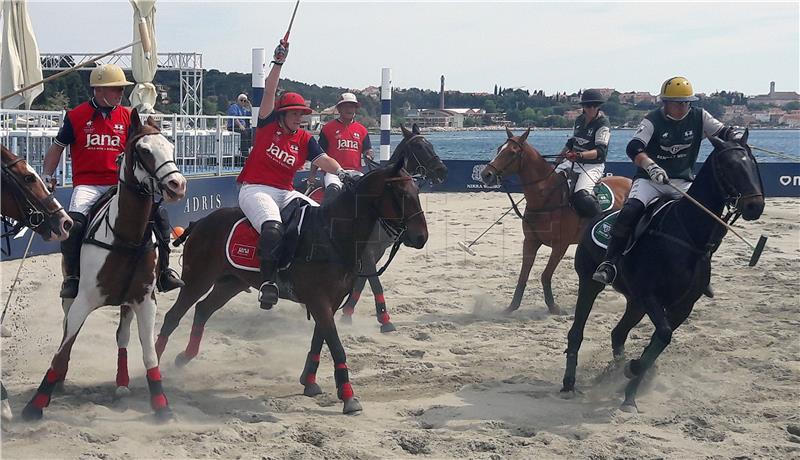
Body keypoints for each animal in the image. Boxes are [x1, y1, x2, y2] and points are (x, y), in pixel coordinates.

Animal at [21, 110, 188, 420]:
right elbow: (62, 349)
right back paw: (61, 381)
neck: (127, 237)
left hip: (126, 303)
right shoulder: (83, 300)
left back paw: (121, 383)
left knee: (122, 336)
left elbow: (149, 352)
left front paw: (161, 405)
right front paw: (35, 405)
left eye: (171, 147)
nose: (178, 185)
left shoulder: (145, 301)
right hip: (70, 295)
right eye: (144, 150)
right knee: (66, 331)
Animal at [158, 160, 432, 416]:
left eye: (417, 190)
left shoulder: (330, 302)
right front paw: (348, 396)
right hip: (197, 279)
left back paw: (184, 357)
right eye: (401, 194)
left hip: (231, 282)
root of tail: (200, 221)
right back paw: (156, 369)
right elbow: (336, 346)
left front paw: (309, 381)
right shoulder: (319, 300)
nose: (421, 237)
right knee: (173, 316)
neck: (331, 235)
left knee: (203, 309)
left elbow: (320, 339)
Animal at [306, 124, 446, 332]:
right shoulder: (366, 252)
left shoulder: (375, 252)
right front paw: (385, 320)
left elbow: (362, 282)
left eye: (431, 144)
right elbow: (375, 283)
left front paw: (347, 313)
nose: (442, 170)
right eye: (419, 147)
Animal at [478, 129, 636, 316]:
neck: (546, 197)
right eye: (498, 149)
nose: (486, 174)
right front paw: (511, 307)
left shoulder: (560, 245)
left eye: (512, 152)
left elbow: (545, 275)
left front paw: (553, 307)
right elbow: (523, 275)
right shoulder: (530, 241)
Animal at [560, 131, 764, 412]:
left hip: (635, 302)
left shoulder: (681, 306)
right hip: (591, 283)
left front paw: (630, 393)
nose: (755, 206)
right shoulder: (651, 296)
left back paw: (615, 373)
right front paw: (633, 371)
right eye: (729, 165)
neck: (687, 236)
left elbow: (659, 341)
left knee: (618, 333)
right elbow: (663, 336)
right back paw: (569, 383)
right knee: (577, 332)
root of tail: (597, 216)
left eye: (753, 163)